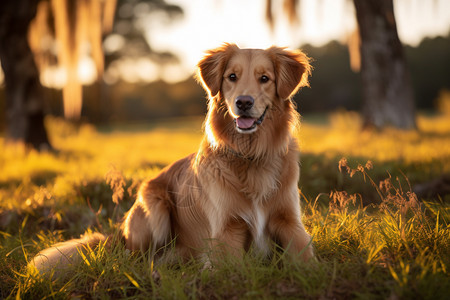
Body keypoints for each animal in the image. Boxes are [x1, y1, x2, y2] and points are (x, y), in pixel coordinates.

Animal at [30, 43, 312, 276]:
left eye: (265, 79)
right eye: (232, 77)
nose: (243, 102)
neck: (251, 155)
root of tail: (119, 236)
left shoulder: (289, 221)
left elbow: (306, 257)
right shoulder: (226, 231)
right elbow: (232, 270)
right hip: (154, 206)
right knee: (133, 258)